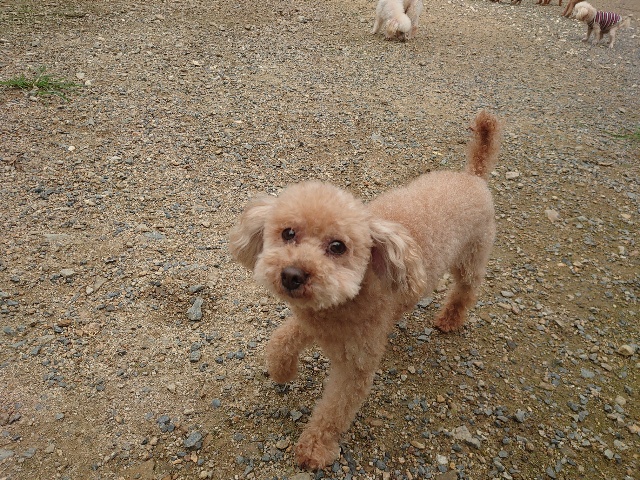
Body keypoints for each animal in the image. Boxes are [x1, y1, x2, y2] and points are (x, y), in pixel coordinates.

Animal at [229, 111, 501, 469]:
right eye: (288, 233)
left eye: (337, 246)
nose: (291, 275)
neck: (342, 305)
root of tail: (474, 177)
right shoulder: (311, 319)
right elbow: (279, 341)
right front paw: (283, 371)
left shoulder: (355, 366)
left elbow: (334, 412)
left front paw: (314, 450)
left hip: (472, 256)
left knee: (466, 290)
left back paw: (450, 320)